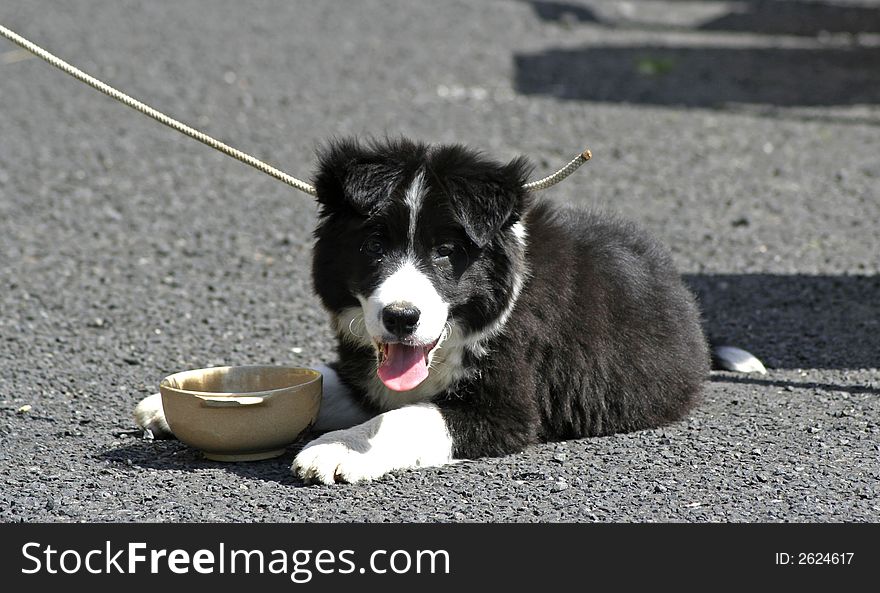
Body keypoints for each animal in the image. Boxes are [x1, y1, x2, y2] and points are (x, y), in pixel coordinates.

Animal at [136, 140, 708, 486]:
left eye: (447, 251)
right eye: (372, 245)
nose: (401, 317)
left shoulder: (505, 405)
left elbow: (404, 414)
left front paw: (337, 450)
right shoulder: (364, 367)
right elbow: (327, 383)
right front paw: (172, 403)